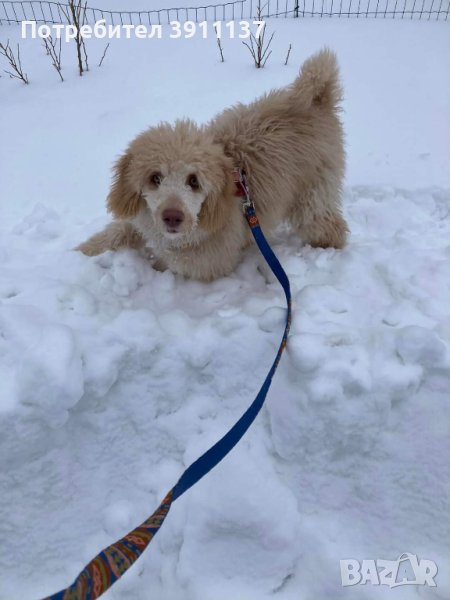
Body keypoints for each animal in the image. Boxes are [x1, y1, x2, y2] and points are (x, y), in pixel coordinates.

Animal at [76, 48, 348, 280]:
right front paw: (80, 252)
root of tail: (317, 100)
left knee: (326, 223)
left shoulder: (210, 258)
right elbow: (117, 232)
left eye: (194, 181)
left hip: (313, 192)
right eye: (155, 178)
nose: (172, 217)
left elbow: (177, 262)